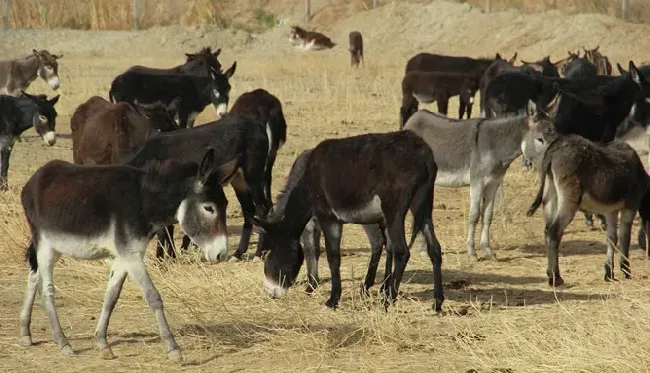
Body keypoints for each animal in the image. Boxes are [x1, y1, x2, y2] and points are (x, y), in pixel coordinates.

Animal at [19, 148, 238, 360]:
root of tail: (38, 176)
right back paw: (63, 343)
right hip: (45, 245)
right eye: (208, 208)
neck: (143, 201)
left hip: (54, 247)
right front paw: (173, 348)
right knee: (46, 289)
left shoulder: (124, 255)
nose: (222, 254)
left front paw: (102, 343)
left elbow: (111, 296)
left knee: (33, 275)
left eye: (226, 206)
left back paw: (26, 333)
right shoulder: (131, 256)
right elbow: (153, 296)